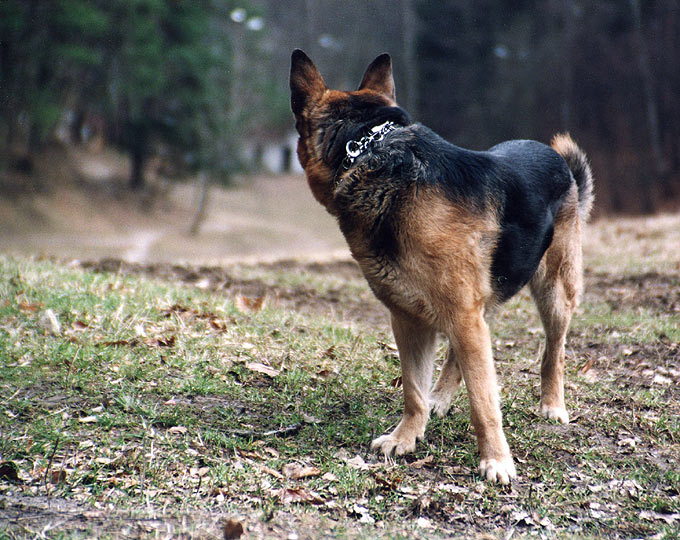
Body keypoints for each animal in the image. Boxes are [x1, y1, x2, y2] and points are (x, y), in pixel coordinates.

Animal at [290, 48, 592, 484]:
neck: (371, 151)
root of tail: (560, 162)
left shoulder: (462, 315)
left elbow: (484, 401)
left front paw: (496, 460)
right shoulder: (410, 319)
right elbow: (413, 391)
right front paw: (406, 437)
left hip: (552, 294)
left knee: (554, 353)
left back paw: (552, 405)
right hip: (480, 304)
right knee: (458, 357)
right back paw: (442, 397)